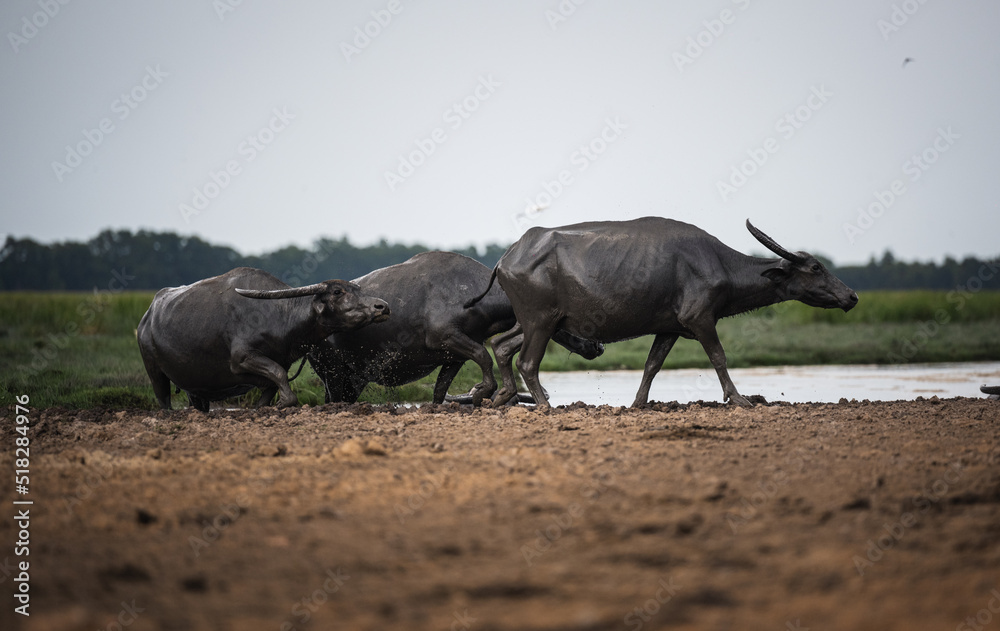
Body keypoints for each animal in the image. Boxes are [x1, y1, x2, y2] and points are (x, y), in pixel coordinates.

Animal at [137, 267, 389, 412]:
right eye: (337, 292)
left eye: (358, 290)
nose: (382, 306)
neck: (279, 314)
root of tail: (146, 318)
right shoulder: (241, 359)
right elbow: (278, 376)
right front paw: (283, 403)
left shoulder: (281, 361)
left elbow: (273, 382)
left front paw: (263, 408)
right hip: (154, 370)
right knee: (163, 398)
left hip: (193, 386)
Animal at [307, 251, 603, 405]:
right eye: (567, 314)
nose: (598, 345)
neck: (472, 296)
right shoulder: (447, 338)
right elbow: (485, 359)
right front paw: (481, 392)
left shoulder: (453, 357)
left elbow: (440, 391)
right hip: (332, 372)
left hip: (352, 378)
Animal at [466, 217, 858, 409]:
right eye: (816, 267)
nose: (851, 296)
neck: (719, 264)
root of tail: (506, 258)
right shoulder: (701, 320)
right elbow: (719, 357)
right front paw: (740, 399)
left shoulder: (669, 328)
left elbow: (651, 365)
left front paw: (638, 403)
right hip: (540, 321)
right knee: (527, 362)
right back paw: (544, 405)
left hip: (539, 322)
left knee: (502, 345)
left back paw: (500, 396)